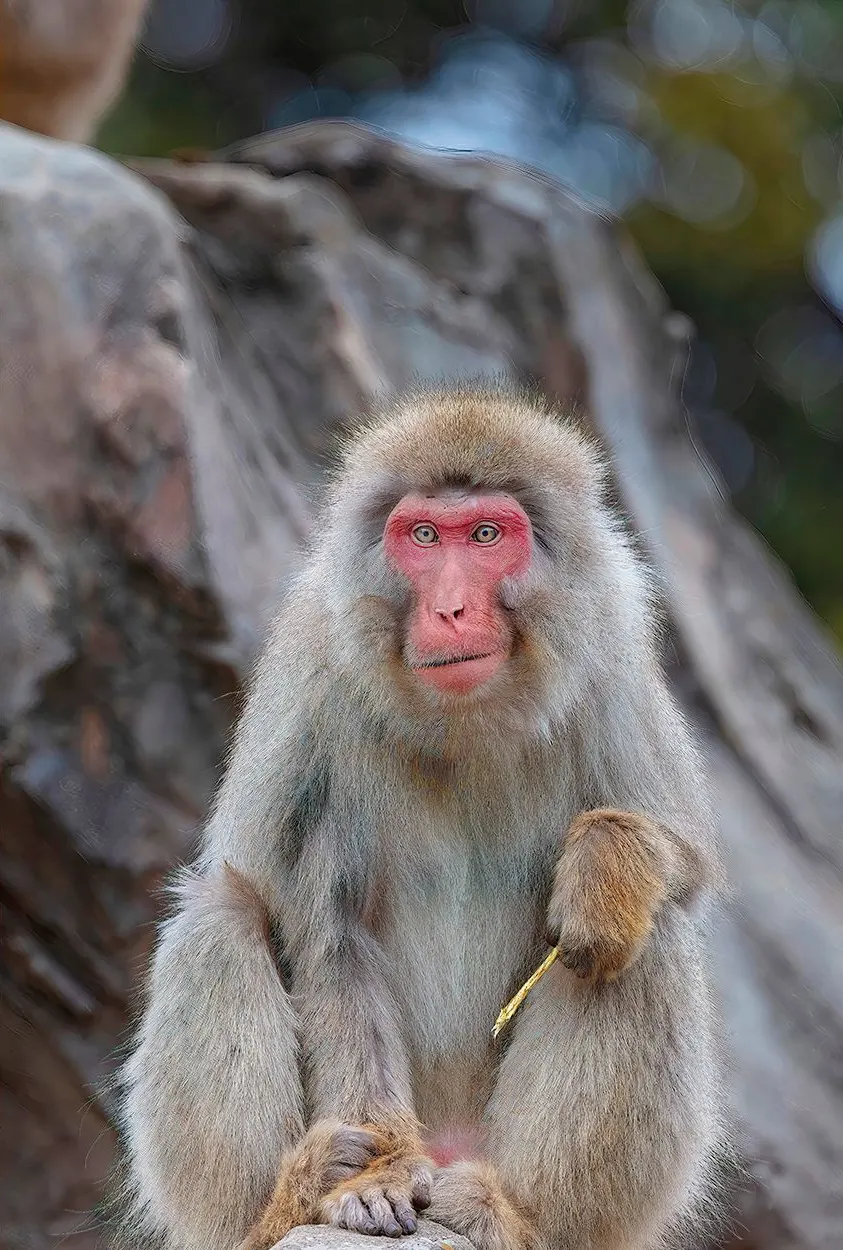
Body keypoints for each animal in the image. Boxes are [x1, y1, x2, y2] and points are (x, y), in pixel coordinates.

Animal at [116, 382, 726, 1250]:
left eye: (486, 535)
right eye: (425, 536)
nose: (450, 608)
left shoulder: (611, 648)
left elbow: (682, 861)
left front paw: (607, 867)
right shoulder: (315, 672)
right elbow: (331, 930)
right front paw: (371, 1180)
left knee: (643, 941)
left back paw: (514, 1213)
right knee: (219, 919)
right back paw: (288, 1202)